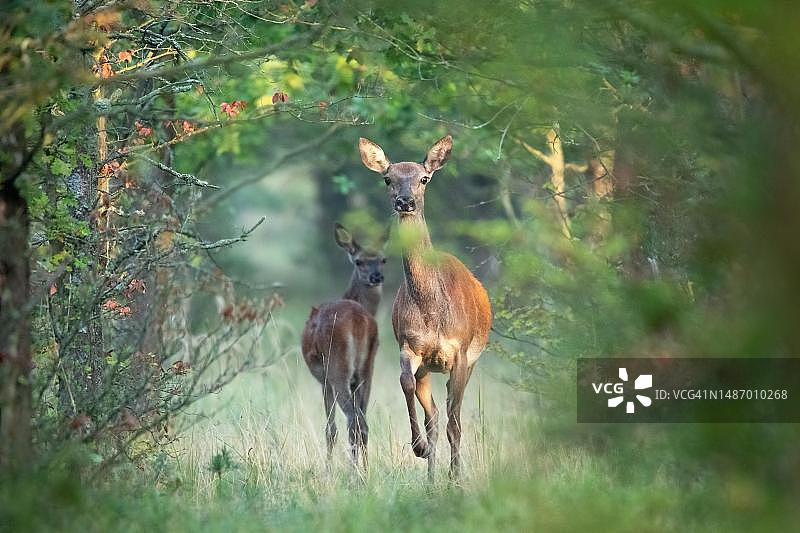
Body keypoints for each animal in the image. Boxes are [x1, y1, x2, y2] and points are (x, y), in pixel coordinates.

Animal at [301, 223, 385, 471]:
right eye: (359, 261)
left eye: (383, 259)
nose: (377, 276)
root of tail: (360, 319)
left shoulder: (324, 379)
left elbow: (331, 429)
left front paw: (327, 469)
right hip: (367, 370)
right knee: (363, 423)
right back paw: (364, 470)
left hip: (338, 368)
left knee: (352, 421)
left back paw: (353, 472)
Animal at [358, 135, 492, 481]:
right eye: (387, 178)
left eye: (424, 179)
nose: (405, 201)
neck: (432, 312)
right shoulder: (410, 346)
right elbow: (405, 385)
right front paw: (418, 448)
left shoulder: (460, 353)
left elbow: (455, 423)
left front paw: (456, 478)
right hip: (428, 368)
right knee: (433, 416)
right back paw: (430, 475)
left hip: (471, 361)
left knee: (450, 417)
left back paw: (448, 474)